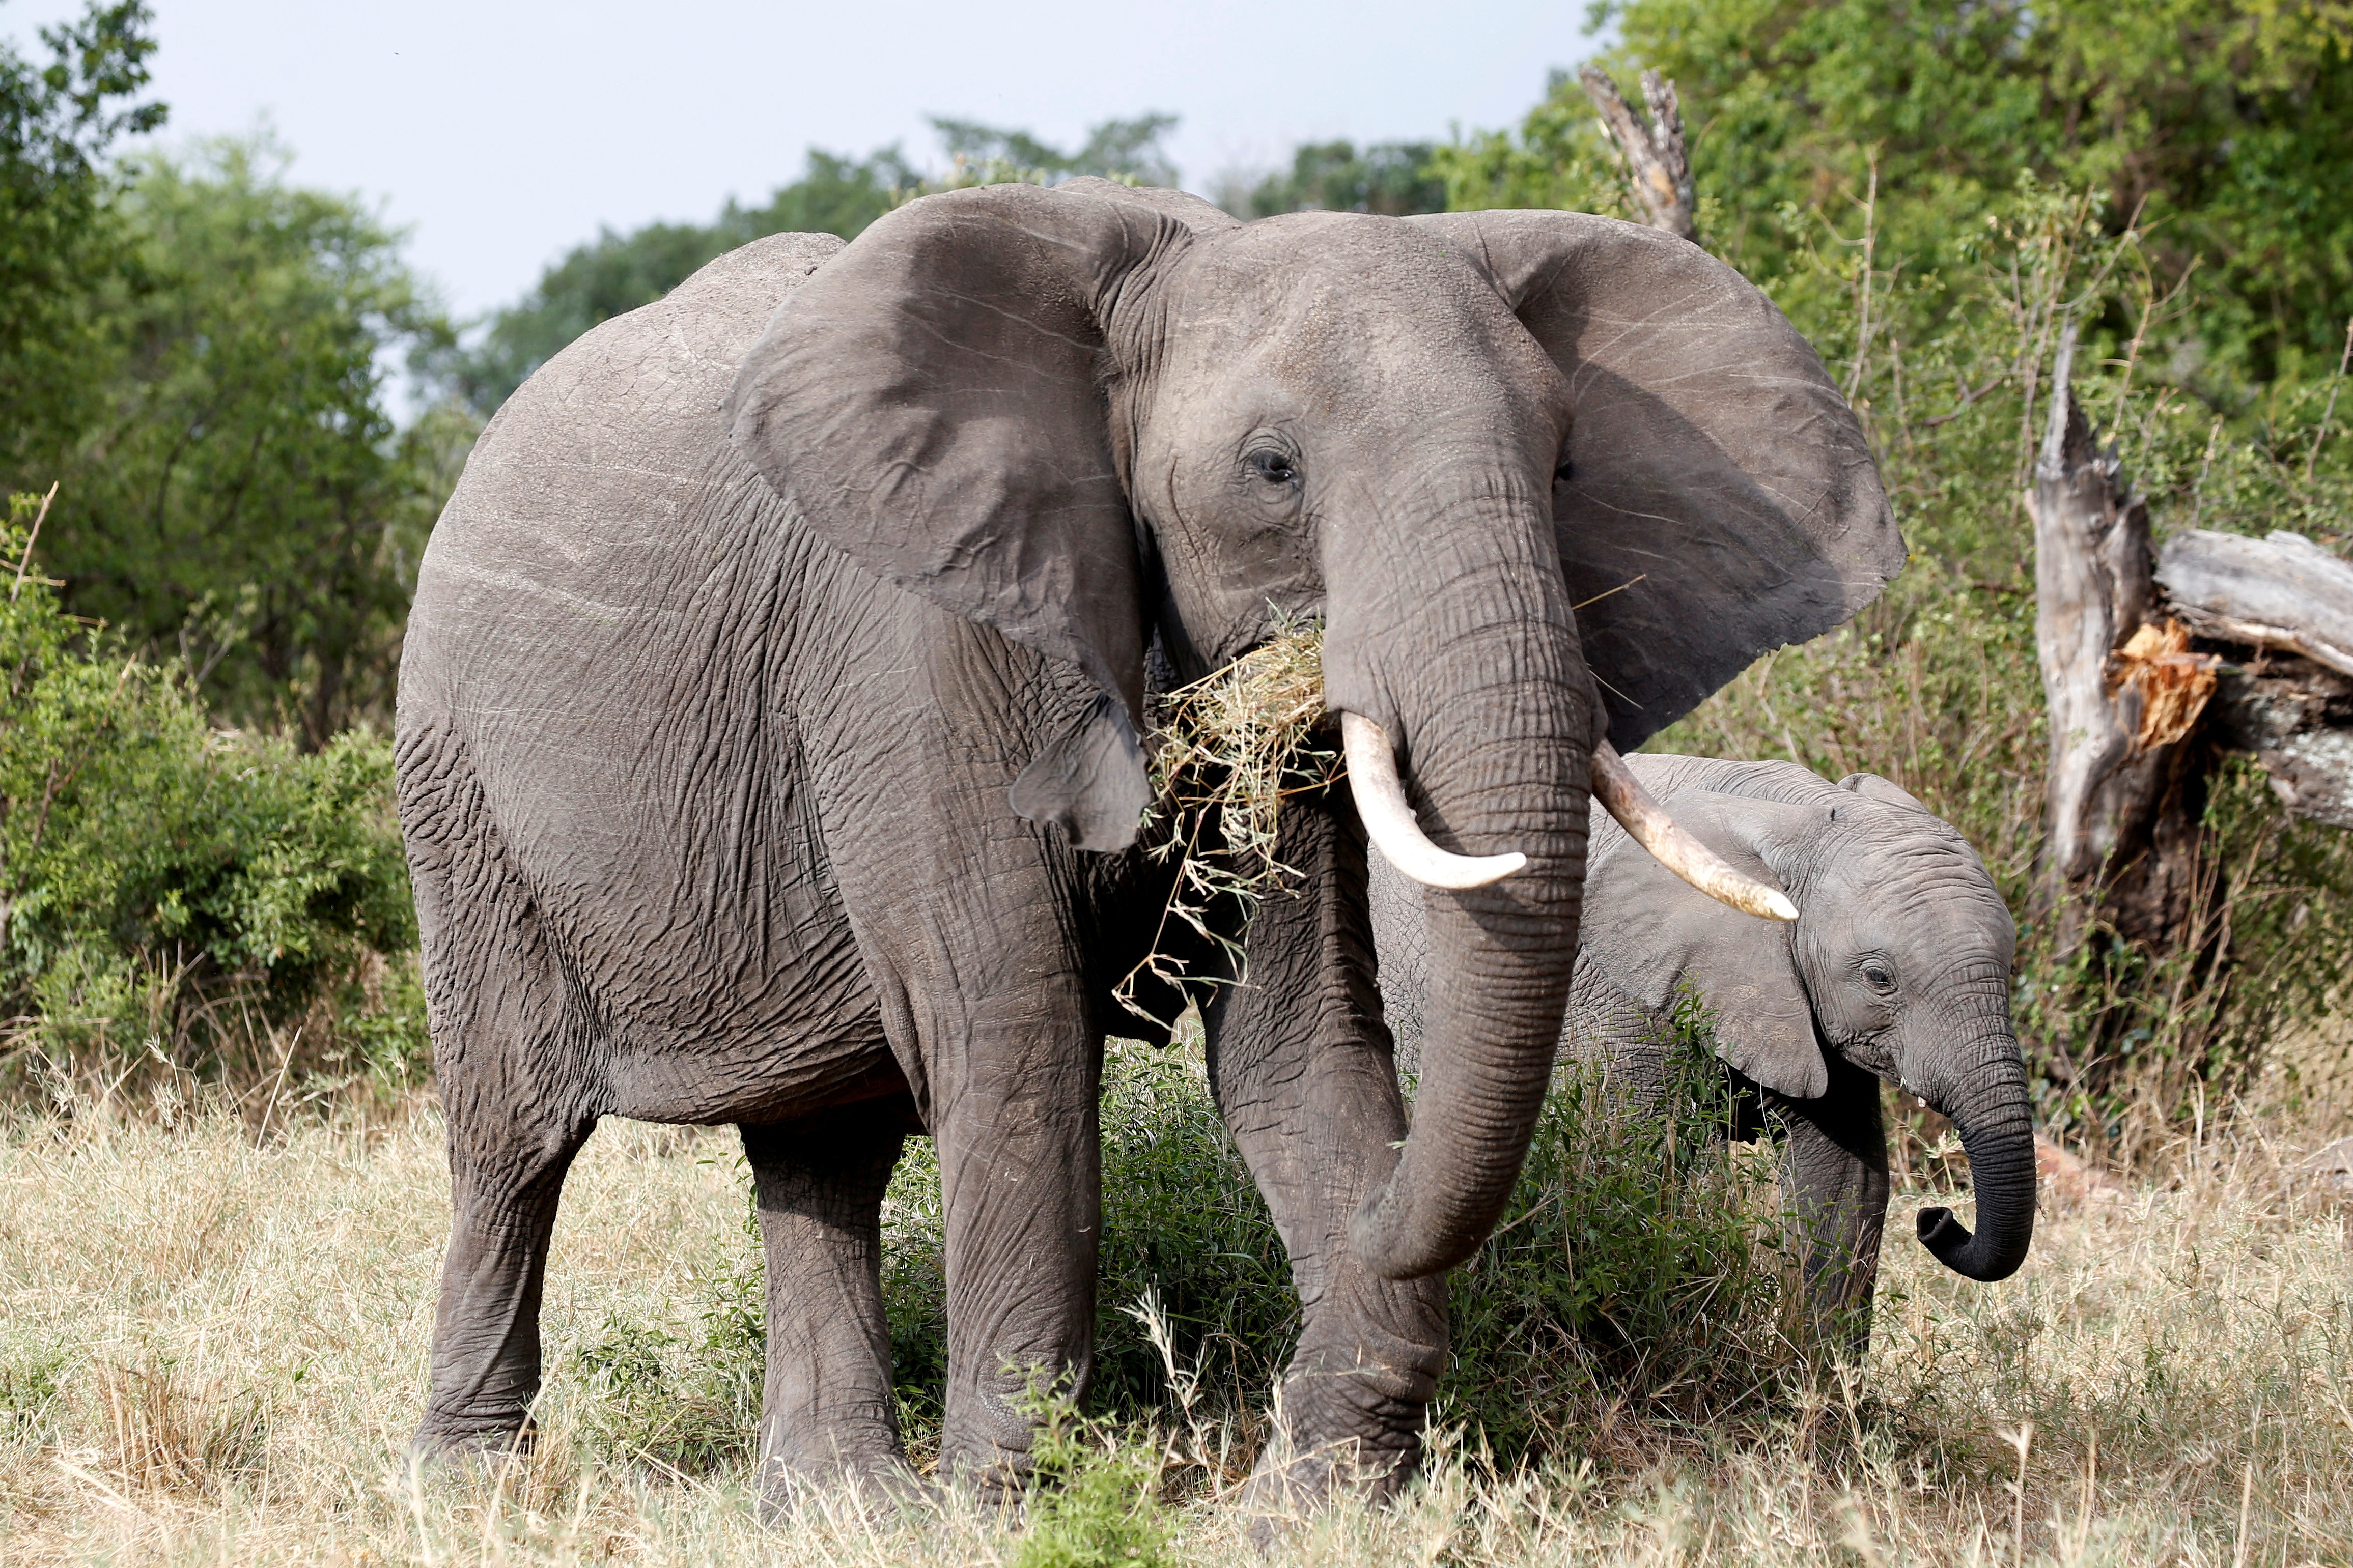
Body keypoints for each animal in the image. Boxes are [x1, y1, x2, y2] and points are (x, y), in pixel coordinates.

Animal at [395, 181, 1901, 1504]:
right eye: (1273, 470)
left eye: (1563, 465)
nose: (1382, 1213)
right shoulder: (909, 642)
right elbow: (1007, 1028)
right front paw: (1003, 1505)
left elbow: (1296, 1039)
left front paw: (1317, 1495)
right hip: (456, 787)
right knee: (515, 1136)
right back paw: (466, 1489)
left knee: (823, 1149)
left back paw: (840, 1508)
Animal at [1374, 752, 2033, 1354]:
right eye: (1879, 979)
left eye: (2008, 967)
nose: (1937, 1218)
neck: (1792, 817)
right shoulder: (1623, 989)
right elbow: (1638, 1157)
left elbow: (1844, 1183)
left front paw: (1818, 1395)